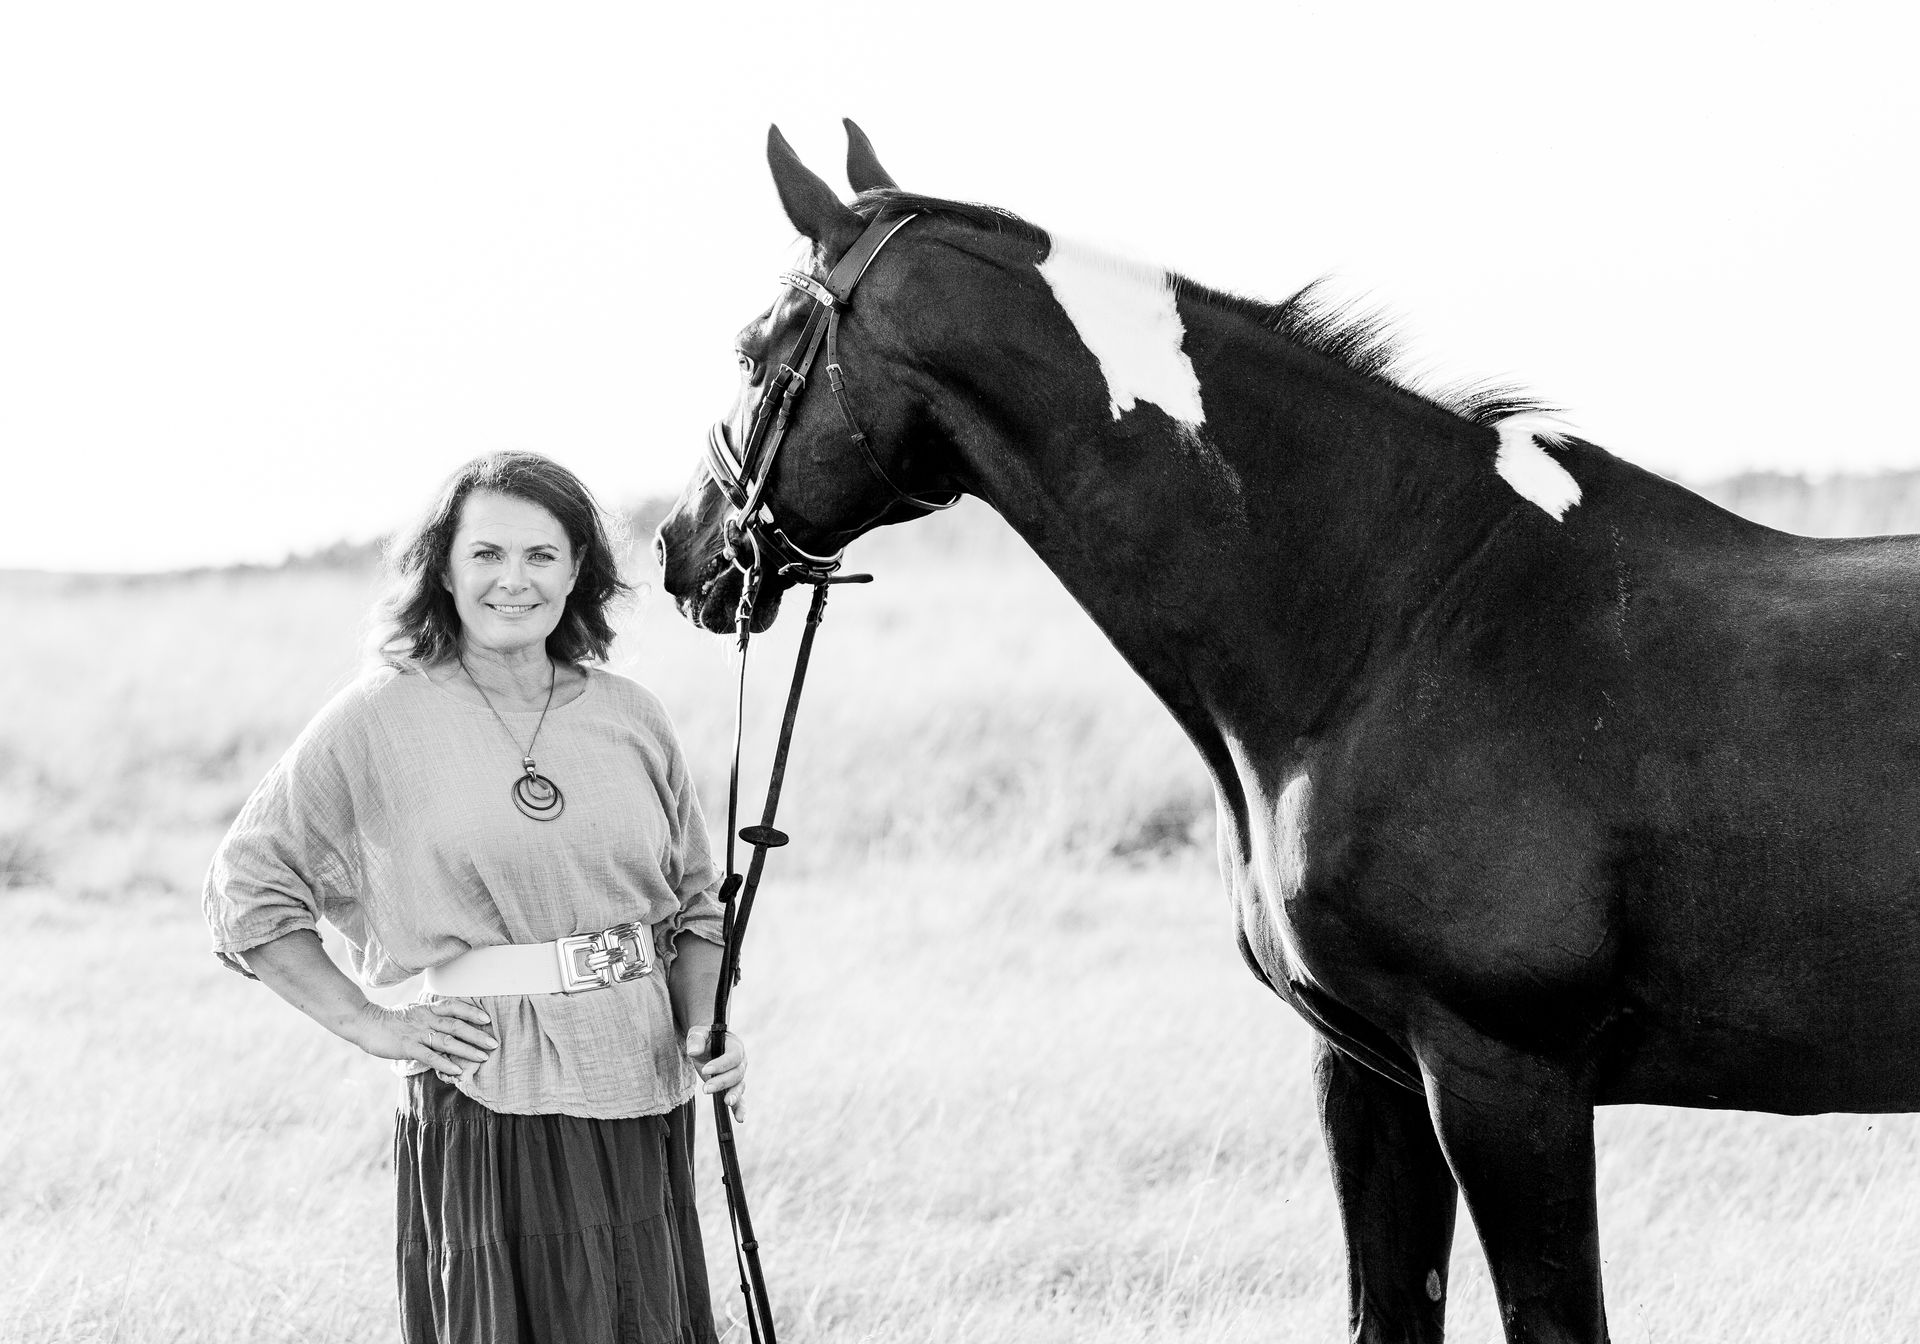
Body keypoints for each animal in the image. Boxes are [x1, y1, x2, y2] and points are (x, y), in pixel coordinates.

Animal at [654, 121, 1920, 1344]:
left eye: (755, 348)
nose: (686, 547)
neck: (1402, 616)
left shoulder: (1506, 1077)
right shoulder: (1371, 1070)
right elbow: (1385, 1313)